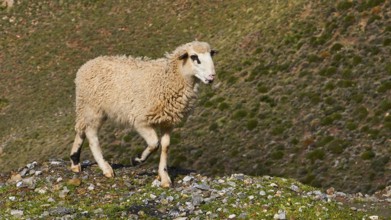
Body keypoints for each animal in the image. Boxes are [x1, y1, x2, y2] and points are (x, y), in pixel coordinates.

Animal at [70, 40, 217, 187]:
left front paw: (164, 177)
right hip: (93, 108)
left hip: (86, 108)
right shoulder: (141, 121)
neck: (168, 78)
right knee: (92, 135)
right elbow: (154, 144)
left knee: (81, 130)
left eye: (211, 55)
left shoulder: (167, 122)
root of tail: (86, 65)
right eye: (194, 57)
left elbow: (165, 147)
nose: (212, 77)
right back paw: (105, 168)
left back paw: (75, 162)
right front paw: (137, 160)